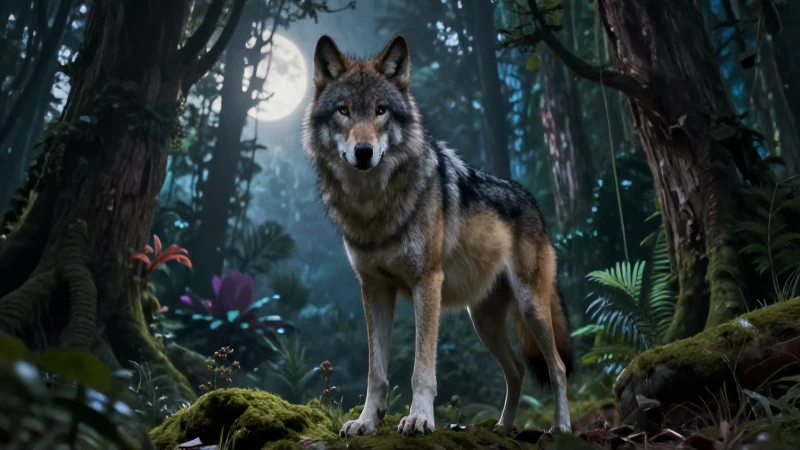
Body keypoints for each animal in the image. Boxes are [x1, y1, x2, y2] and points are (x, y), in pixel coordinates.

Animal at [301, 34, 574, 437]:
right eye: (344, 111)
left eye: (381, 110)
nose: (364, 152)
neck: (374, 208)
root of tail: (532, 201)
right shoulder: (374, 289)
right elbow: (376, 372)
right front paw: (366, 421)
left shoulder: (427, 282)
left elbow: (421, 370)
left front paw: (419, 418)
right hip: (484, 323)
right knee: (517, 370)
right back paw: (502, 428)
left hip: (531, 309)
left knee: (557, 367)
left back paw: (562, 428)